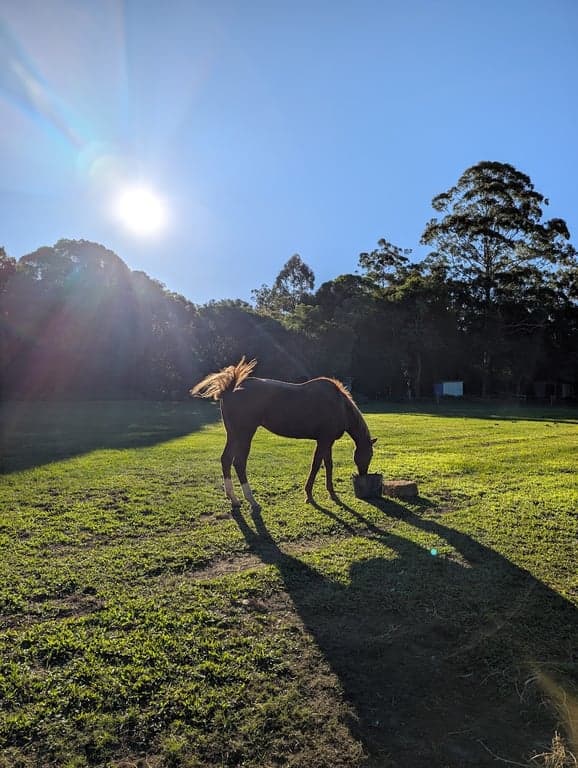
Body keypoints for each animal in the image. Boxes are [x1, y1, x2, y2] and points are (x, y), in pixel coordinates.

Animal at [190, 358, 376, 510]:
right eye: (369, 455)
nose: (363, 474)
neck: (340, 406)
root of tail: (230, 389)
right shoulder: (324, 441)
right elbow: (316, 465)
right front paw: (309, 494)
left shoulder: (327, 441)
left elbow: (328, 464)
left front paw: (331, 492)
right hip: (245, 434)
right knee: (239, 463)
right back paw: (251, 500)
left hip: (233, 434)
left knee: (226, 460)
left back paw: (234, 499)